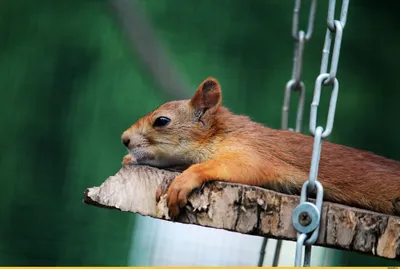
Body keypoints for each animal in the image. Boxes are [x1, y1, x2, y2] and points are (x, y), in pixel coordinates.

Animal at [121, 77, 400, 218]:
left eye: (162, 121)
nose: (124, 139)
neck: (224, 133)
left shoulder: (251, 153)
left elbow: (227, 166)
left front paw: (186, 180)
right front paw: (129, 159)